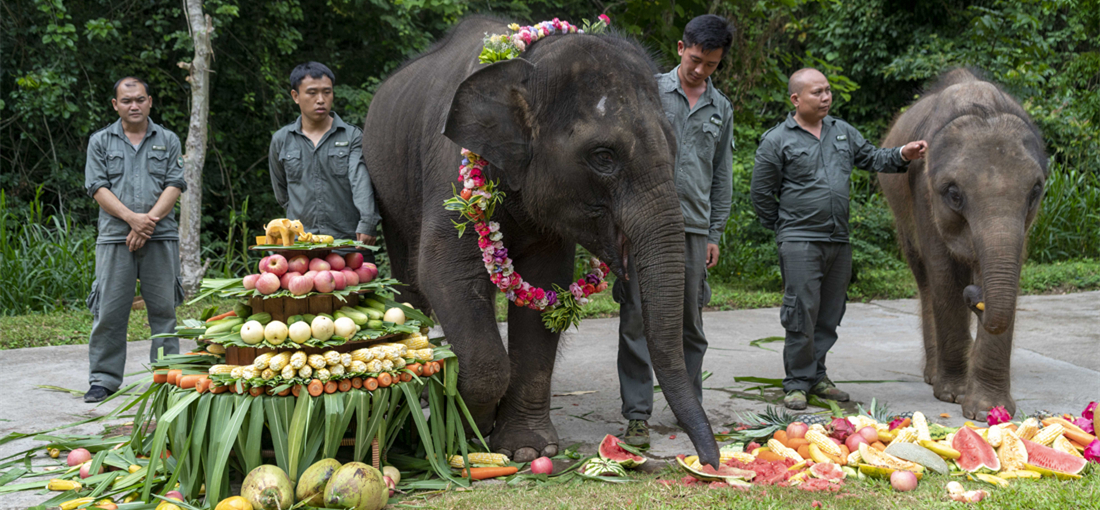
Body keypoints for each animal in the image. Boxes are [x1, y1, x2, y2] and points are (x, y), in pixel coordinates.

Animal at [360, 16, 721, 466]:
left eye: (674, 148)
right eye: (604, 156)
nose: (710, 462)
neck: (529, 63)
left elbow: (546, 288)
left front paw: (526, 447)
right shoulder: (448, 175)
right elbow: (445, 272)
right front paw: (463, 424)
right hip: (386, 187)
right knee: (410, 279)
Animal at [875, 67, 1047, 419]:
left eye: (1035, 191)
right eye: (954, 194)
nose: (976, 297)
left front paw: (988, 410)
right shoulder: (923, 193)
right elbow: (945, 274)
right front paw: (953, 396)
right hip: (901, 215)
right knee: (925, 278)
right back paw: (933, 376)